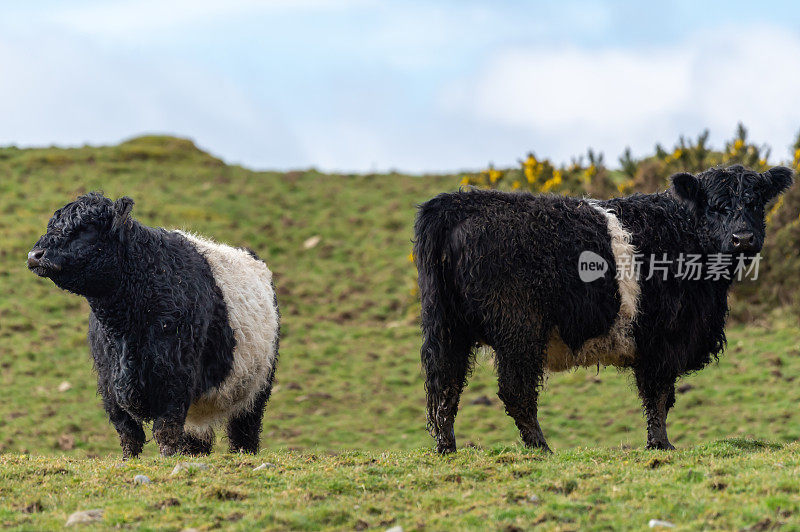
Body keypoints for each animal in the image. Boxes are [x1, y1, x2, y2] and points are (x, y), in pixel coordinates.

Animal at [416, 164, 792, 450]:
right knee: (514, 390)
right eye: (716, 205)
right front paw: (661, 445)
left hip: (447, 327)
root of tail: (458, 202)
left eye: (756, 203)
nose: (743, 238)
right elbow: (658, 395)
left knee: (444, 386)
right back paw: (542, 447)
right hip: (518, 328)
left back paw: (447, 448)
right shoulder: (661, 339)